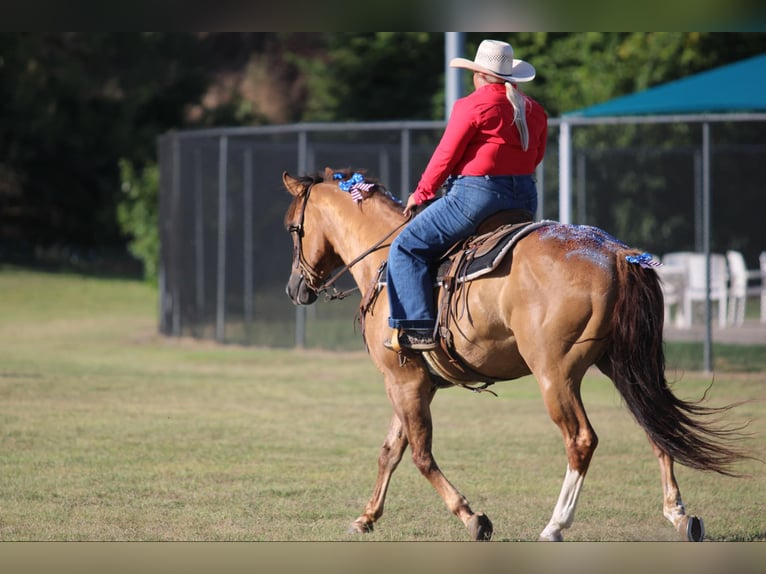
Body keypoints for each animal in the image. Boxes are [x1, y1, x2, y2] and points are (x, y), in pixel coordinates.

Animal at [282, 167, 746, 542]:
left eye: (292, 228)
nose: (294, 288)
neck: (385, 259)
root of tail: (618, 254)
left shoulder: (403, 380)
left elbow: (420, 455)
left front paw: (472, 518)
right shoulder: (416, 382)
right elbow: (390, 451)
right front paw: (366, 518)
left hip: (555, 375)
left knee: (581, 440)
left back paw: (555, 525)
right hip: (626, 366)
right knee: (656, 429)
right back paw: (679, 516)